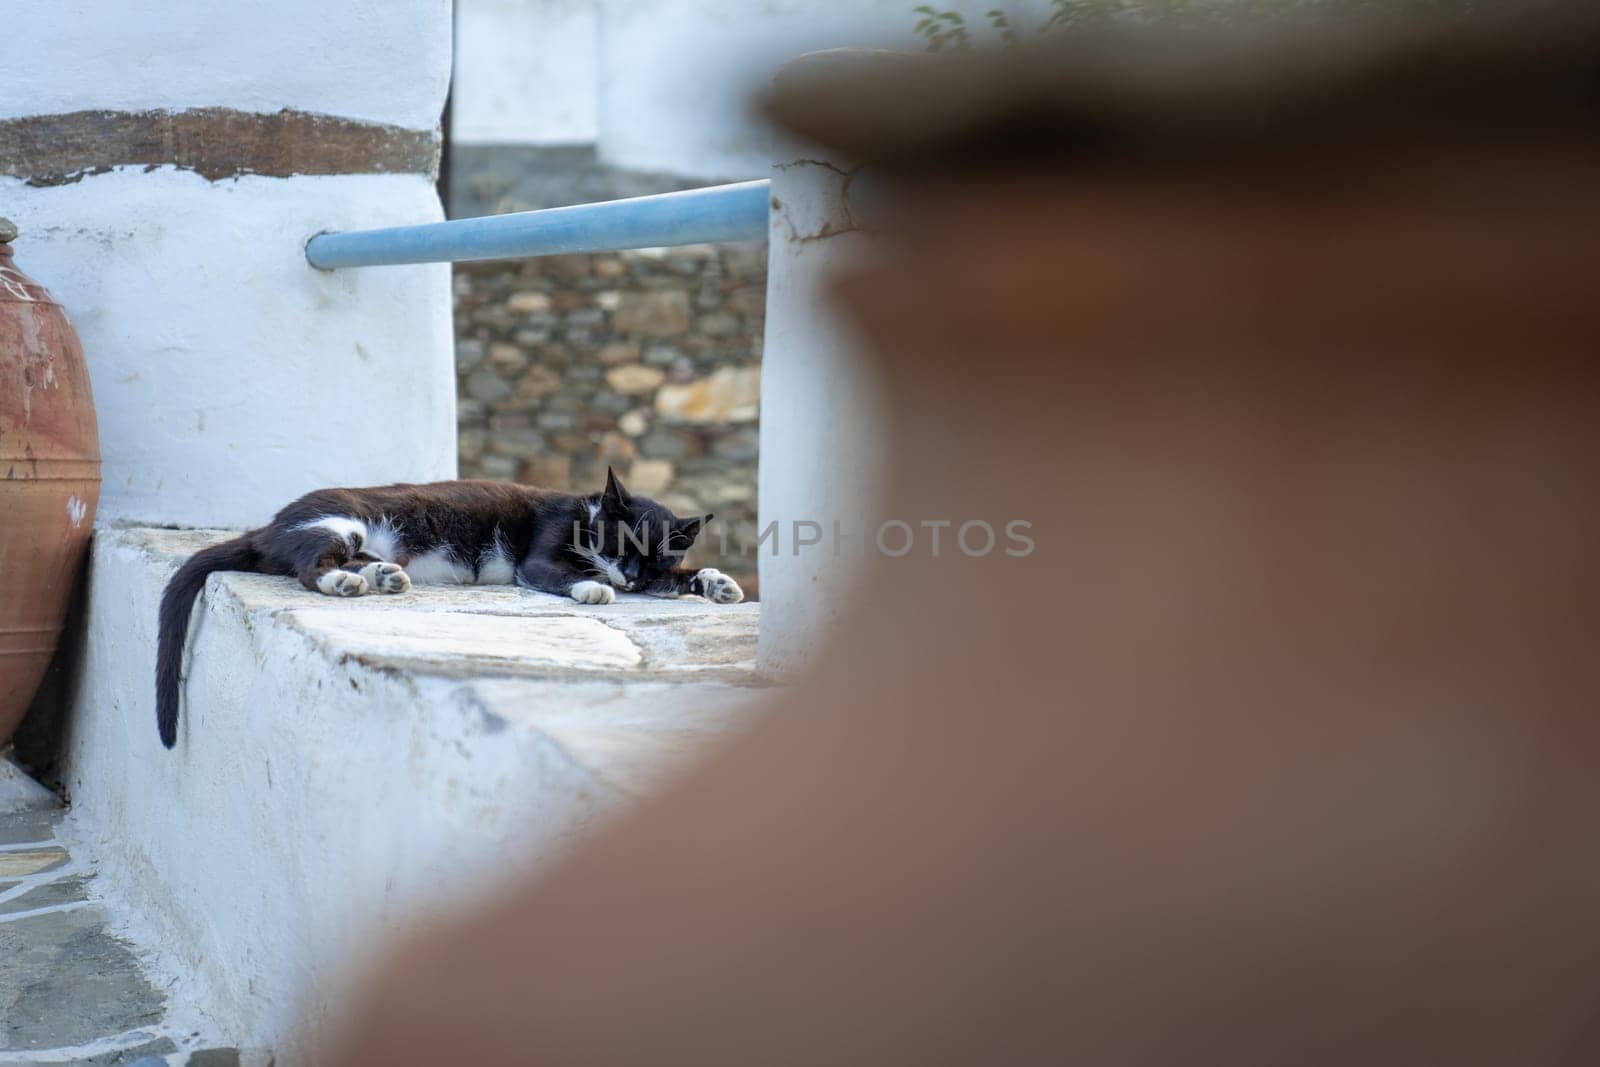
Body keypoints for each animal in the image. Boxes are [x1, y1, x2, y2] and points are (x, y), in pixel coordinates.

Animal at [156, 470, 742, 748]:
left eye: (658, 554)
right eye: (621, 543)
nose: (632, 575)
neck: (585, 512)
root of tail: (268, 526)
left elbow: (677, 581)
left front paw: (714, 582)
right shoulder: (539, 556)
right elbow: (569, 572)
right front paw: (595, 586)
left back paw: (382, 575)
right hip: (338, 521)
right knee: (311, 565)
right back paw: (345, 581)